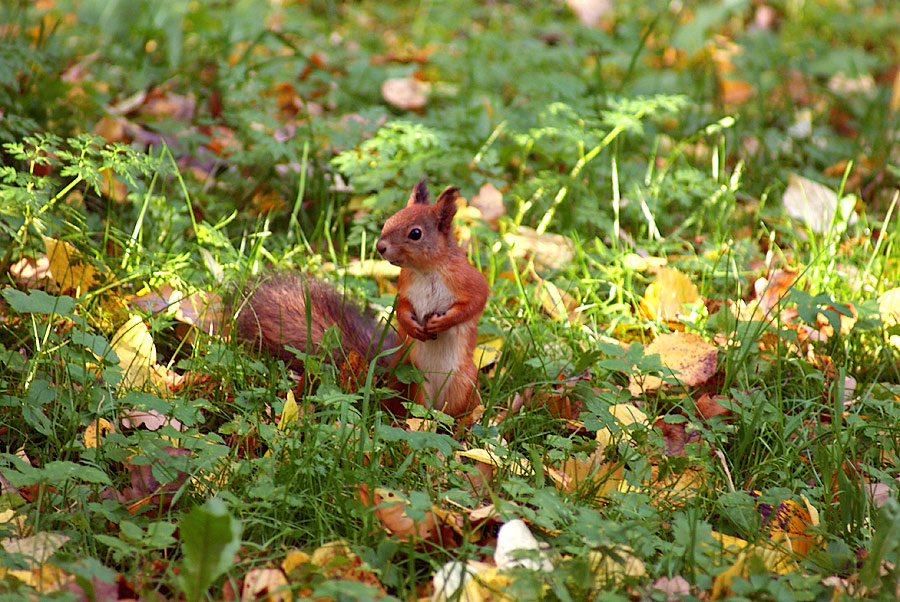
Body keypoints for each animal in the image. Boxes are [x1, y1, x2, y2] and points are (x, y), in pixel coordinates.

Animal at [232, 179, 486, 418]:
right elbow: (402, 307)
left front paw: (441, 322)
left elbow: (474, 303)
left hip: (463, 384)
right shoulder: (405, 286)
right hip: (413, 383)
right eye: (390, 220)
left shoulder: (467, 280)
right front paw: (412, 326)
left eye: (416, 233)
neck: (426, 270)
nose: (380, 247)